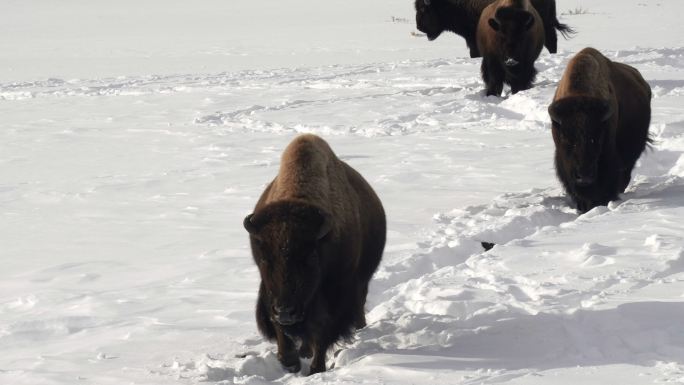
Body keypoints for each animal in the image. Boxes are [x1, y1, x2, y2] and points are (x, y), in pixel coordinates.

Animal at [244, 134, 384, 374]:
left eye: (309, 258)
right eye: (264, 258)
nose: (286, 312)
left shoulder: (336, 294)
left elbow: (323, 330)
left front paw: (316, 368)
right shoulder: (270, 295)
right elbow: (280, 328)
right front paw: (290, 360)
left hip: (362, 281)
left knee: (358, 305)